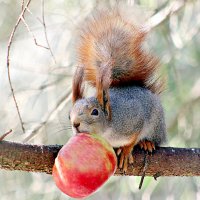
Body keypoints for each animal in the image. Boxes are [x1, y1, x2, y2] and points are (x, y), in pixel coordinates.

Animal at [69, 8, 166, 173]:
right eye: (69, 115)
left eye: (95, 112)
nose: (75, 124)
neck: (106, 131)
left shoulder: (133, 119)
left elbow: (134, 136)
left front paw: (126, 151)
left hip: (156, 125)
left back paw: (146, 142)